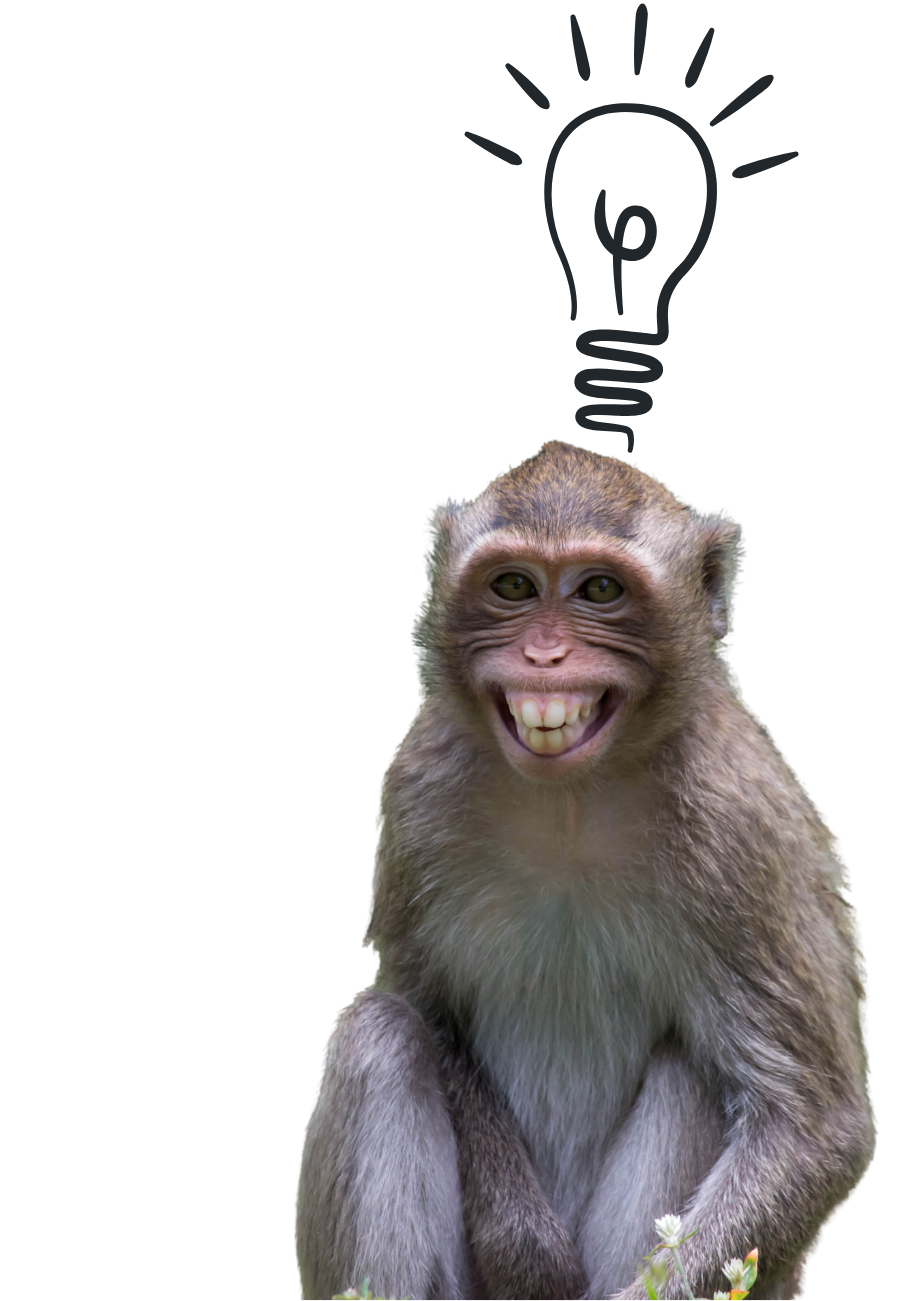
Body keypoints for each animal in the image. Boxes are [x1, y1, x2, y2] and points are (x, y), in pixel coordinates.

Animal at [295, 441, 876, 1301]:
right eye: (512, 585)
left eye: (599, 589)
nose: (544, 656)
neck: (572, 798)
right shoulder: (416, 784)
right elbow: (424, 1006)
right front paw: (523, 1246)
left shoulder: (741, 825)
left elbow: (810, 1124)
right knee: (378, 1031)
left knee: (694, 1071)